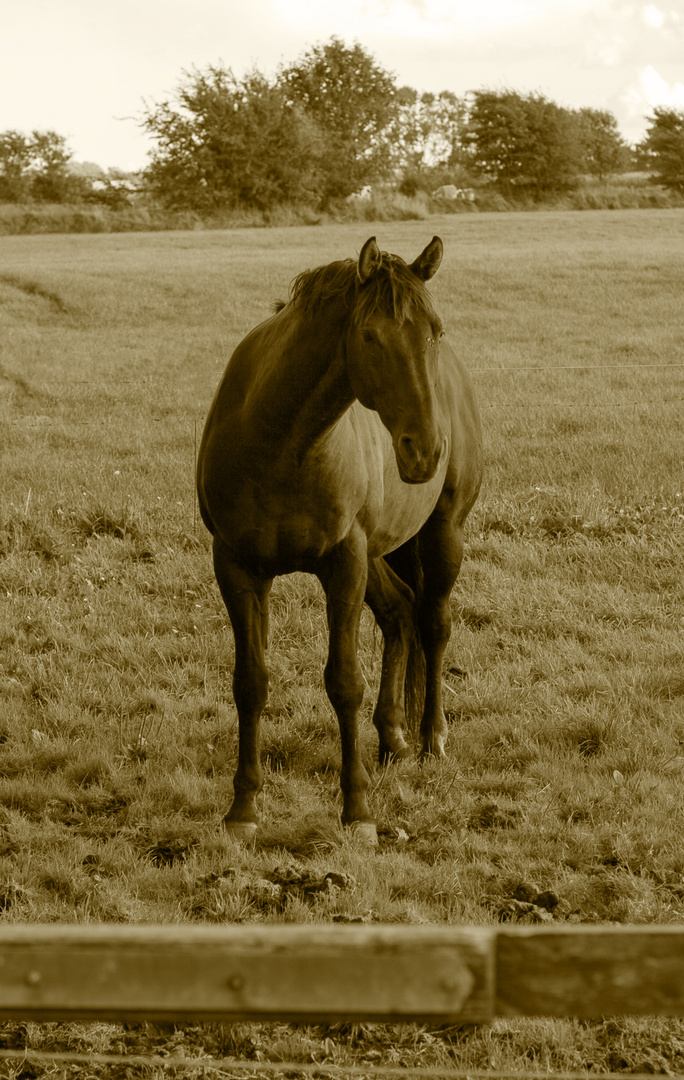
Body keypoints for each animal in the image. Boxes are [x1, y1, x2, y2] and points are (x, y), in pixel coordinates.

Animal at [194, 238, 481, 842]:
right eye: (370, 336)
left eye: (434, 331)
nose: (425, 450)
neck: (282, 443)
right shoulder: (236, 567)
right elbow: (250, 682)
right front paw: (243, 808)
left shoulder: (343, 564)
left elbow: (344, 682)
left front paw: (358, 811)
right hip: (377, 555)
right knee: (400, 613)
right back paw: (392, 737)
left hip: (443, 534)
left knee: (433, 623)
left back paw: (431, 737)